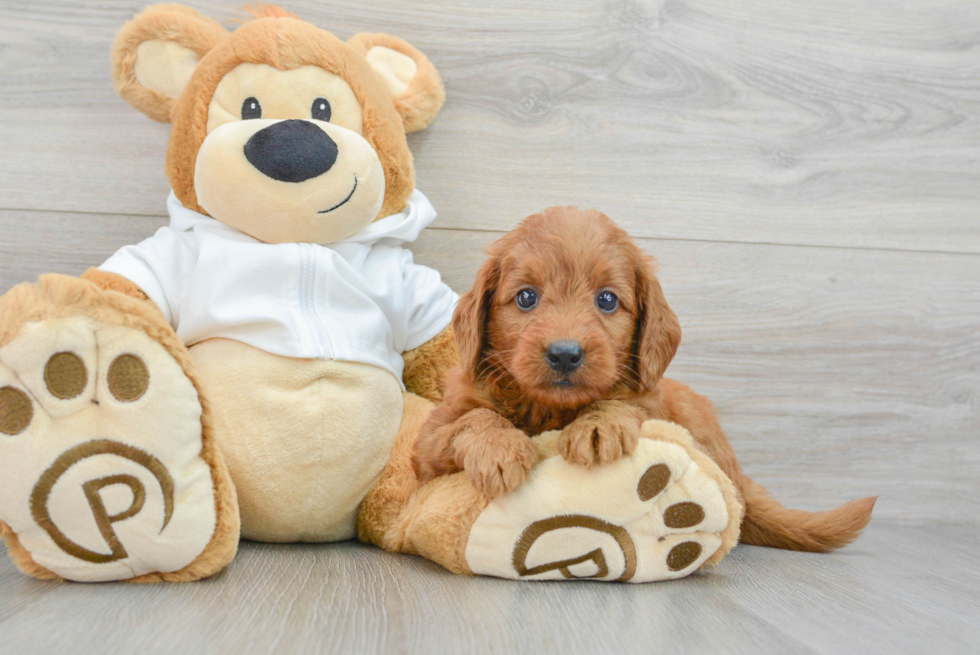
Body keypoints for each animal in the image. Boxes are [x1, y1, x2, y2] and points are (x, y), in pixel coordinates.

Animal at [418, 206, 876, 552]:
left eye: (607, 300)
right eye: (526, 297)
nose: (565, 353)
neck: (548, 408)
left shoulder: (650, 400)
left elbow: (624, 403)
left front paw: (598, 426)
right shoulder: (427, 445)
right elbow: (474, 418)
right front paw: (498, 448)